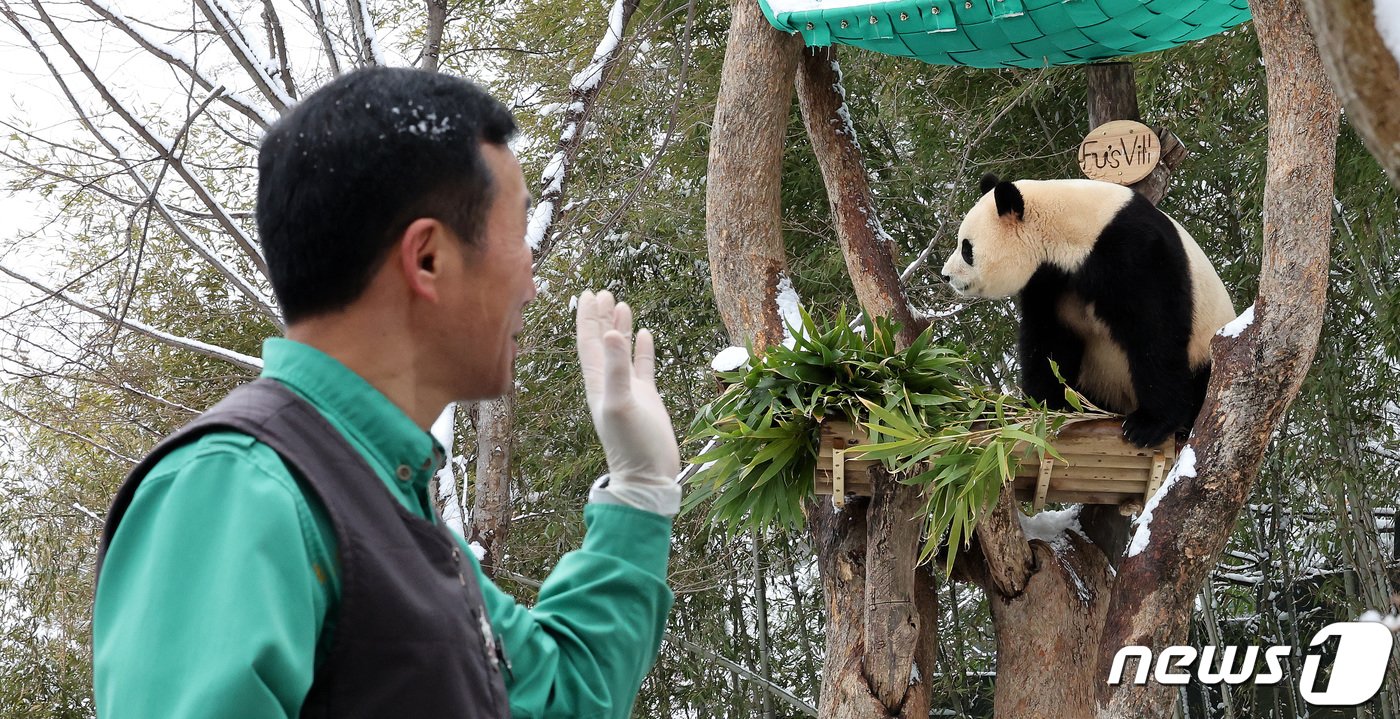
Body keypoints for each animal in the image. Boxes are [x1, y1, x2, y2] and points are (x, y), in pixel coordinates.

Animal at [940, 173, 1237, 444]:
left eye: (966, 249)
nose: (946, 275)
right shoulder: (1051, 282)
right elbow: (1049, 340)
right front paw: (1042, 406)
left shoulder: (1136, 251)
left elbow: (1155, 332)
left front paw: (1148, 425)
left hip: (1204, 350)